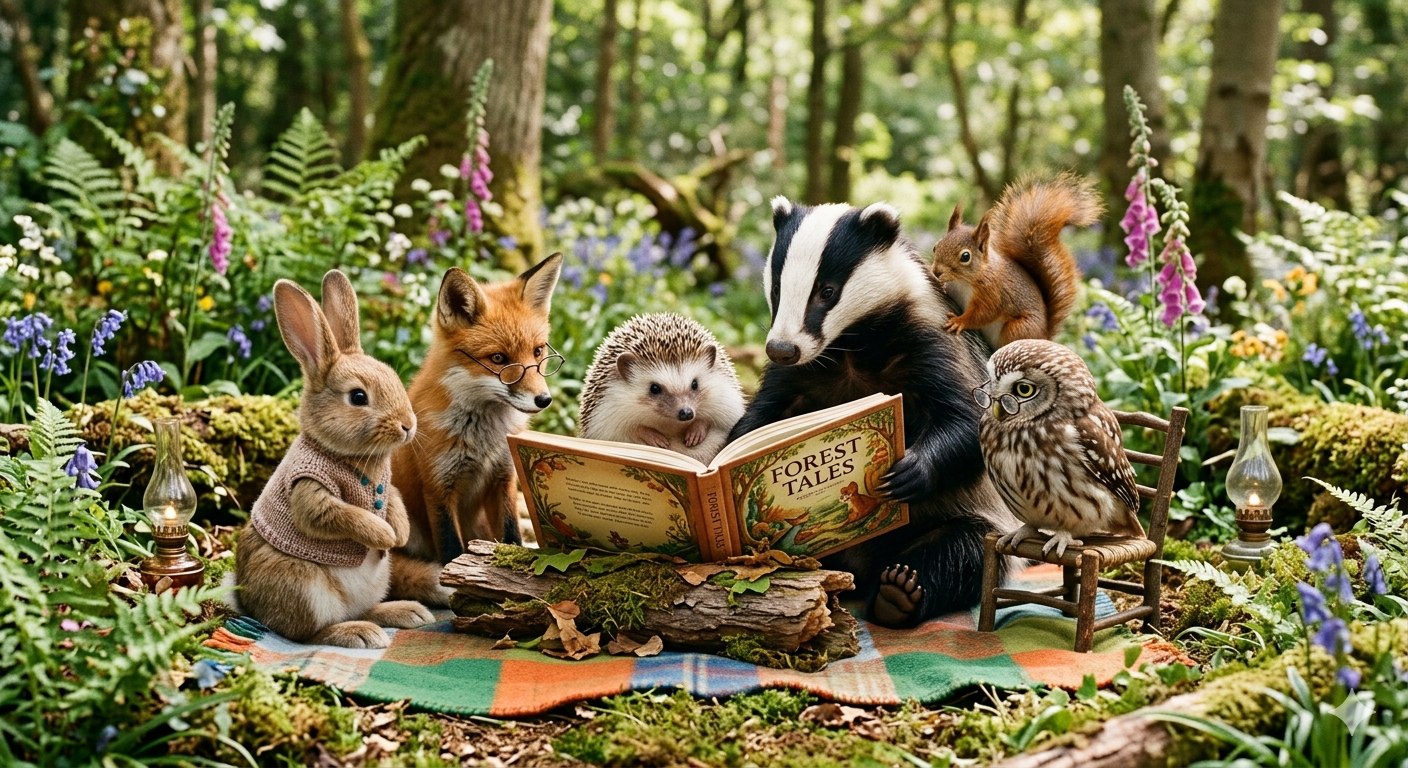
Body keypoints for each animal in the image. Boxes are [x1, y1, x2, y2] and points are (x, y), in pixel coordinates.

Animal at [231, 270, 448, 649]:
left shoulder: (389, 488)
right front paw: (384, 535)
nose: (408, 425)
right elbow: (342, 516)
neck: (350, 458)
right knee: (308, 634)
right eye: (358, 397)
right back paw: (359, 633)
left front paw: (399, 534)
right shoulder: (309, 486)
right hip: (305, 588)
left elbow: (395, 502)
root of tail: (250, 603)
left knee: (364, 609)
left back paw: (405, 613)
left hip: (376, 581)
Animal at [391, 253, 564, 570]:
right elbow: (451, 549)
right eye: (498, 359)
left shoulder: (503, 479)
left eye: (538, 351)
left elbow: (512, 535)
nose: (544, 400)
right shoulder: (438, 488)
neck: (484, 441)